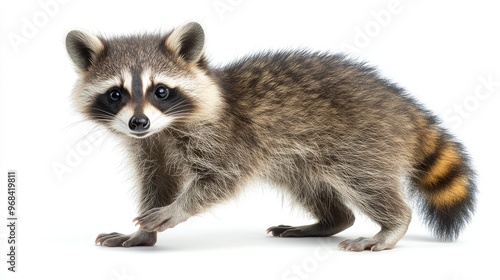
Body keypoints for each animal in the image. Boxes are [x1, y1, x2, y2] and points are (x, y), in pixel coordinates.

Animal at [66, 21, 476, 249]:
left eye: (161, 91)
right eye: (116, 94)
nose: (138, 123)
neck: (165, 128)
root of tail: (404, 106)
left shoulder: (228, 136)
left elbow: (220, 180)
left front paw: (176, 209)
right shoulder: (150, 147)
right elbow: (158, 182)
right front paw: (142, 234)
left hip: (364, 141)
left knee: (368, 182)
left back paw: (392, 225)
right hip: (300, 161)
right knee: (314, 189)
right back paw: (330, 220)